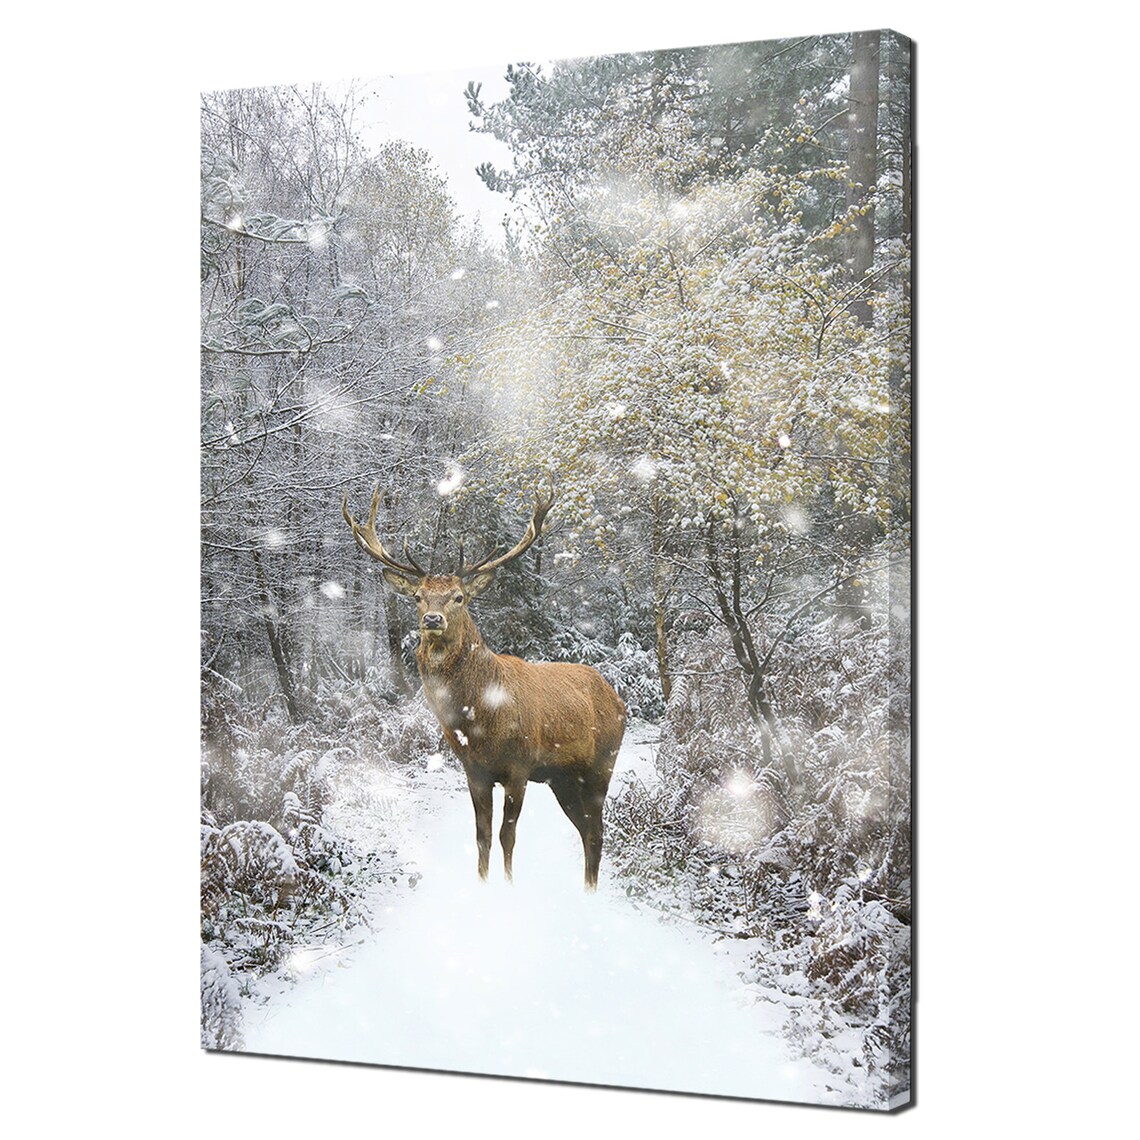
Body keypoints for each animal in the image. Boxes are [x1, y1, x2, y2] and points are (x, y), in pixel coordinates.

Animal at [342, 487, 626, 890]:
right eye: (418, 597)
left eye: (459, 596)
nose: (433, 619)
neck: (479, 718)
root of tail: (617, 698)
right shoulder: (474, 770)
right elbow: (482, 835)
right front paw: (482, 884)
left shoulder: (519, 766)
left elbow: (508, 835)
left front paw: (507, 887)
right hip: (562, 778)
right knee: (586, 830)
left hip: (603, 763)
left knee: (597, 831)